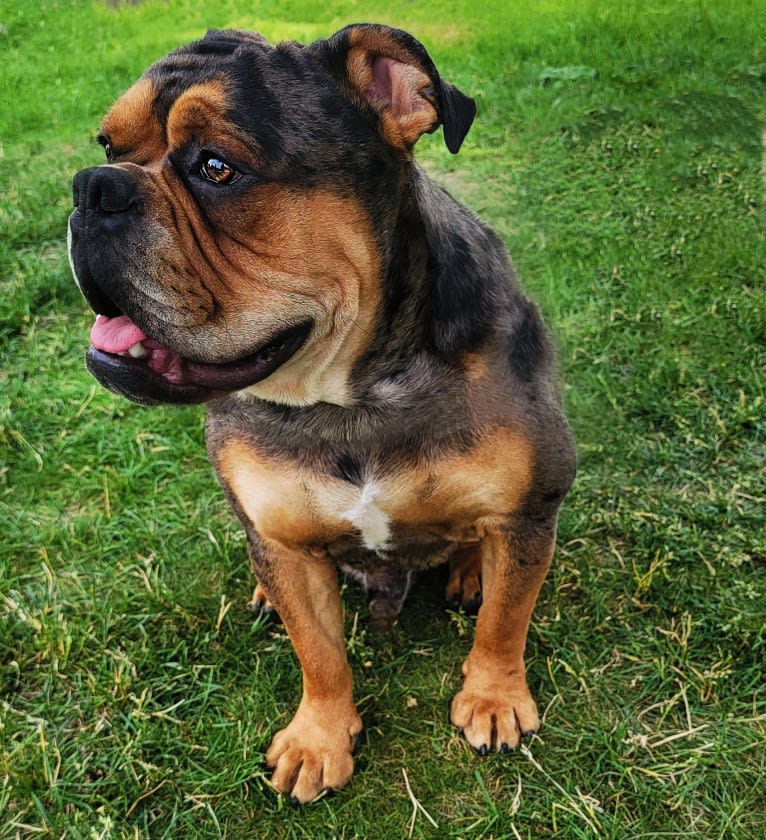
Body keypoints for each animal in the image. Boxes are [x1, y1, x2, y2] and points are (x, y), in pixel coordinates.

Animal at [69, 23, 580, 804]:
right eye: (106, 146)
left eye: (216, 167)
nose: (92, 188)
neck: (349, 397)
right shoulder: (284, 542)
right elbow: (318, 650)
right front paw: (319, 737)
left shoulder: (529, 508)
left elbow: (505, 619)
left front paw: (494, 698)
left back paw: (470, 570)